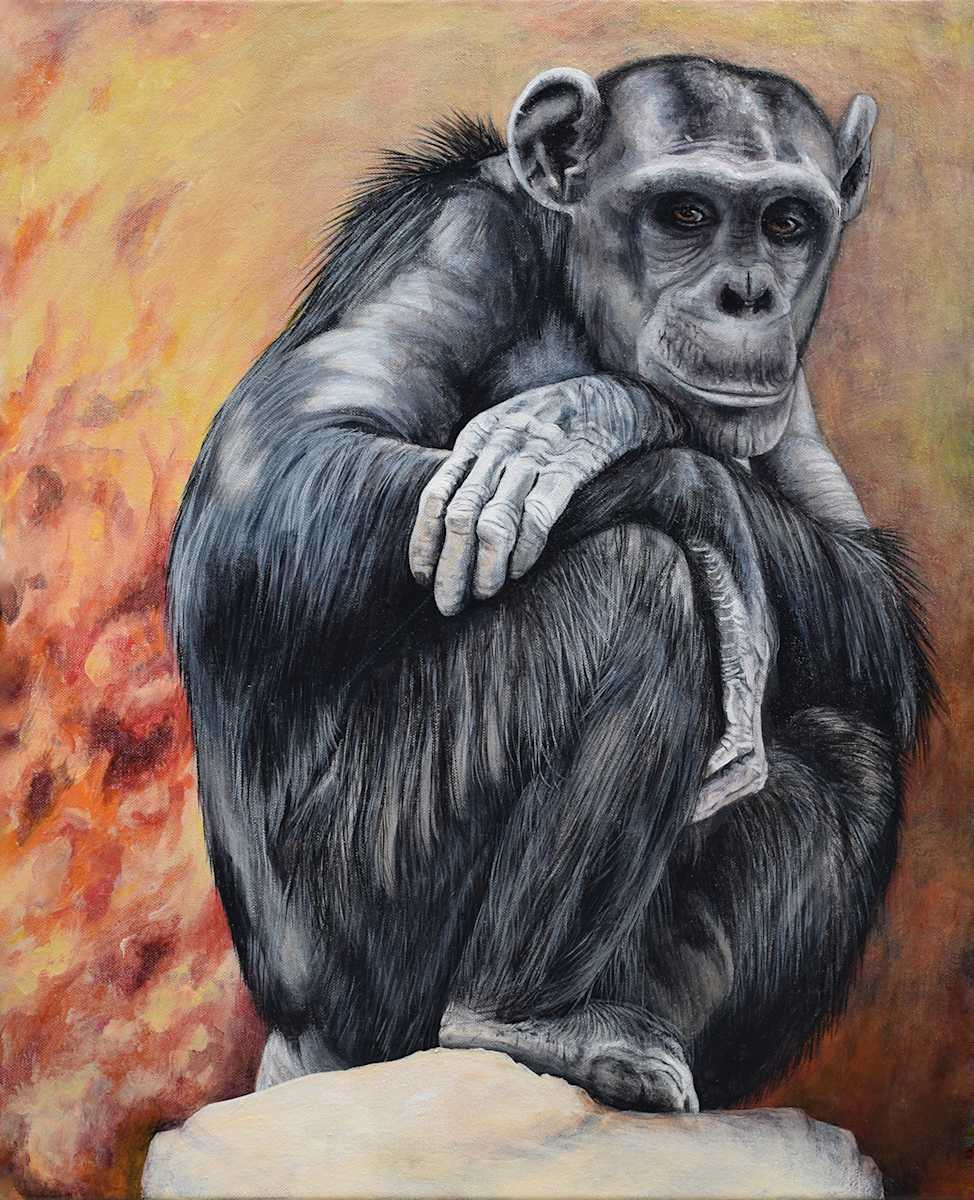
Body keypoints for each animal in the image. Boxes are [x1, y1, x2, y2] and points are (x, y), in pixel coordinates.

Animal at [167, 57, 934, 1113]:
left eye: (786, 223)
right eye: (685, 213)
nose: (748, 295)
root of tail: (298, 1041)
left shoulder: (795, 398)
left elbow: (869, 589)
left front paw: (584, 417)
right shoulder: (452, 248)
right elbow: (268, 486)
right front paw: (651, 457)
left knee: (846, 739)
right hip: (359, 935)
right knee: (637, 581)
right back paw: (509, 1019)